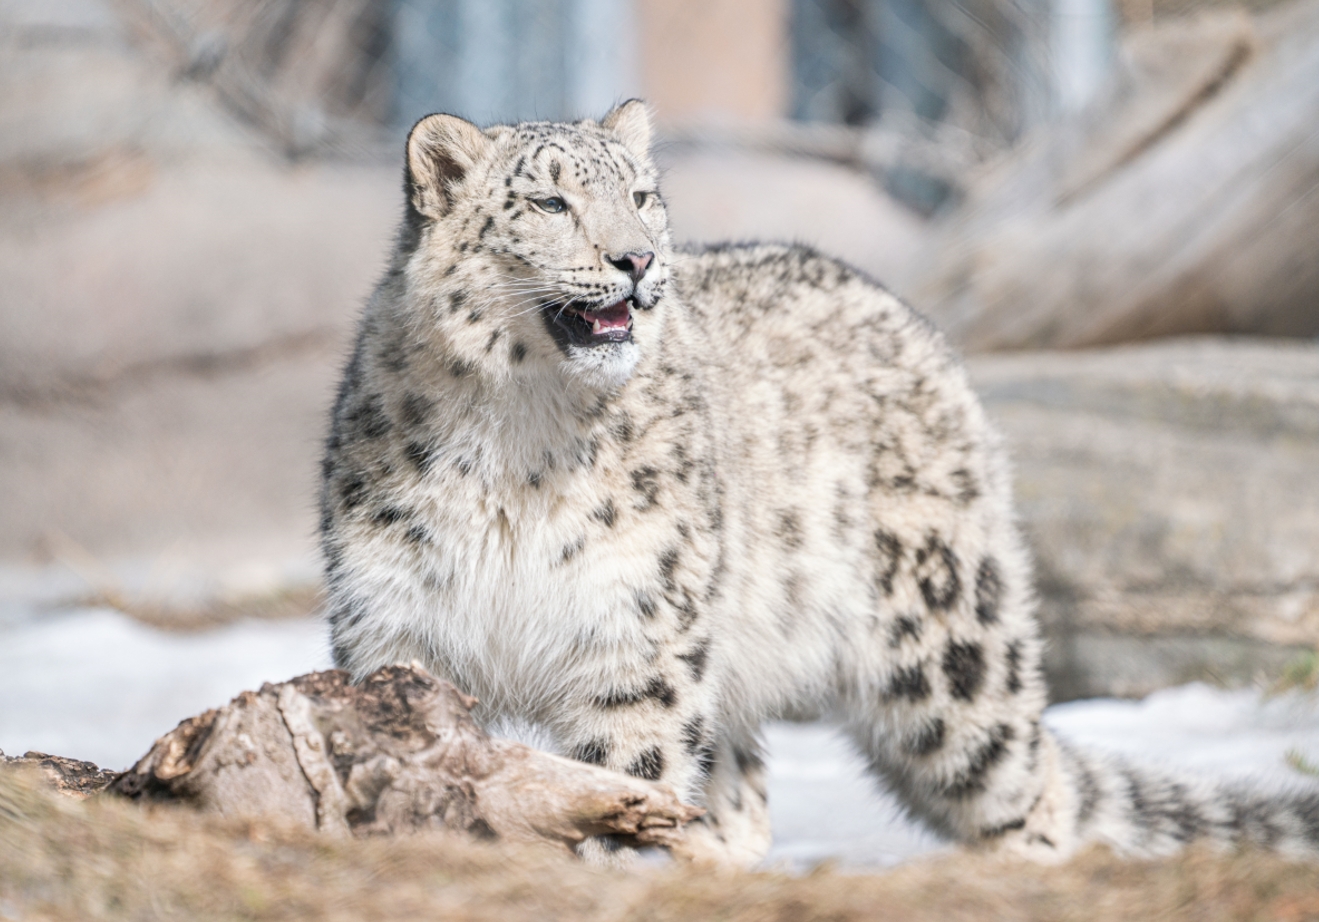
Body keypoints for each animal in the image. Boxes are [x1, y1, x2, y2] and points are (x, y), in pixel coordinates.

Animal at [319, 100, 1319, 866]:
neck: (516, 442)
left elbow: (624, 776)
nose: (637, 260)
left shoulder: (634, 634)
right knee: (742, 789)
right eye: (549, 200)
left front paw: (613, 870)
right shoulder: (398, 623)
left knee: (1021, 785)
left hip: (943, 644)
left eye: (641, 196)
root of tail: (911, 322)